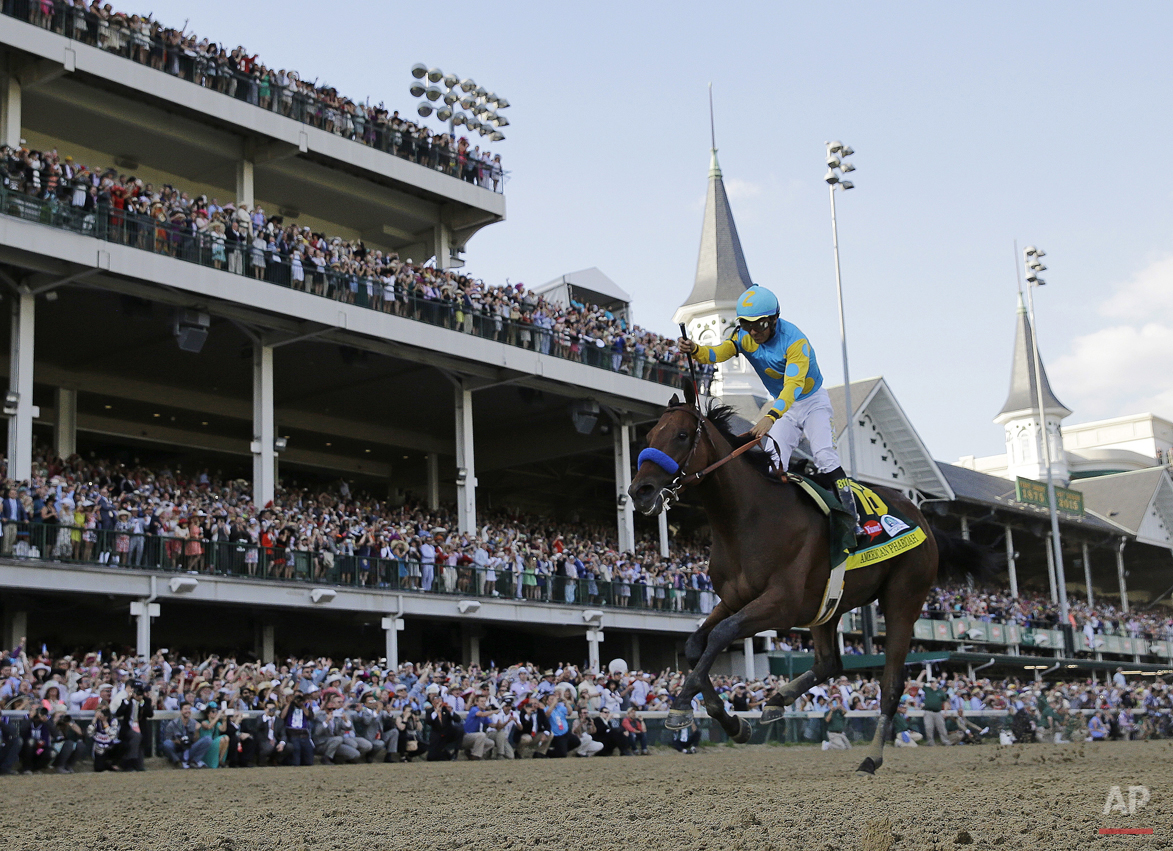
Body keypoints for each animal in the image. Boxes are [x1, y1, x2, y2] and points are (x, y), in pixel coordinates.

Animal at [628, 394, 985, 774]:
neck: (748, 517)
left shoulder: (782, 604)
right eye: (649, 434)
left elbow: (722, 634)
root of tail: (923, 520)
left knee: (891, 682)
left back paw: (871, 757)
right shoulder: (735, 598)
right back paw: (776, 699)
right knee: (829, 663)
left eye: (682, 435)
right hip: (827, 605)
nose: (639, 491)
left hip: (903, 597)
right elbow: (698, 643)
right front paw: (733, 723)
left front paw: (681, 702)